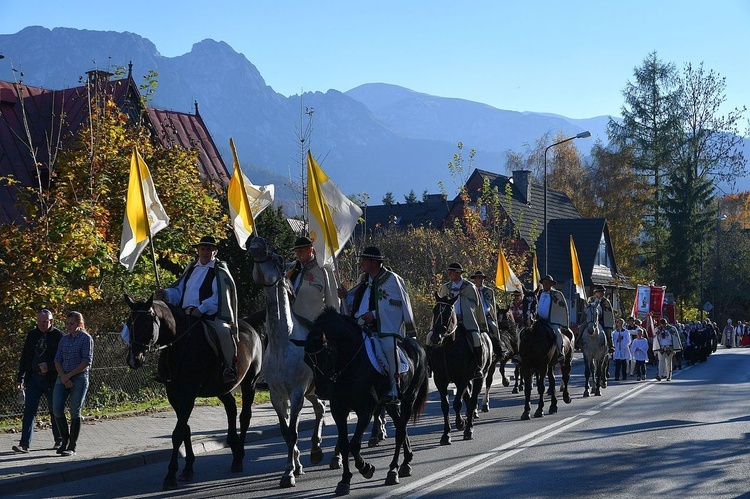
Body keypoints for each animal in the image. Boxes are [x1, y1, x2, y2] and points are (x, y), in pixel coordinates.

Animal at [124, 294, 264, 490]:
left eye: (145, 324)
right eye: (129, 323)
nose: (133, 360)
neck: (179, 344)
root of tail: (248, 324)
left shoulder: (188, 395)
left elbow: (177, 433)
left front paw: (170, 475)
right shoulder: (174, 395)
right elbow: (185, 430)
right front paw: (187, 468)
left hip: (249, 383)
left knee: (245, 417)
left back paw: (238, 458)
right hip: (221, 388)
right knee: (231, 408)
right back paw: (233, 446)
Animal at [248, 236, 330, 486]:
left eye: (278, 257)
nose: (255, 241)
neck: (284, 342)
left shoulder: (296, 392)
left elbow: (293, 431)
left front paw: (289, 473)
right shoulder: (277, 395)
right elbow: (286, 432)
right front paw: (294, 466)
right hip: (312, 391)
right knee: (320, 409)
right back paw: (316, 449)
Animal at [302, 308, 428, 496]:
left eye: (326, 355)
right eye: (306, 360)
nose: (322, 391)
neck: (350, 363)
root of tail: (417, 345)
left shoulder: (366, 410)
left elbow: (354, 444)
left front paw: (366, 468)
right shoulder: (339, 410)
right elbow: (345, 445)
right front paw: (344, 480)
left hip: (408, 399)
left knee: (399, 432)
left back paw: (393, 470)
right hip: (390, 404)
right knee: (401, 426)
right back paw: (406, 462)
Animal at [426, 292, 496, 446]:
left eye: (448, 312)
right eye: (434, 311)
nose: (435, 338)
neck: (448, 347)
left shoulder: (463, 379)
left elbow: (457, 403)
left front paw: (460, 424)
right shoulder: (440, 380)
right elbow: (445, 406)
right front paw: (446, 434)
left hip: (479, 377)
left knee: (473, 400)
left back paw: (468, 429)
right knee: (469, 401)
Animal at [516, 292, 576, 420]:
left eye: (535, 303)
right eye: (523, 302)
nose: (528, 321)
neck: (532, 337)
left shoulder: (542, 366)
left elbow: (541, 387)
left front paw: (539, 409)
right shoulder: (526, 366)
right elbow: (528, 388)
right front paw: (526, 411)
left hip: (567, 362)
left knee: (565, 376)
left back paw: (566, 397)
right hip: (551, 365)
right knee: (553, 382)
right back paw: (553, 406)